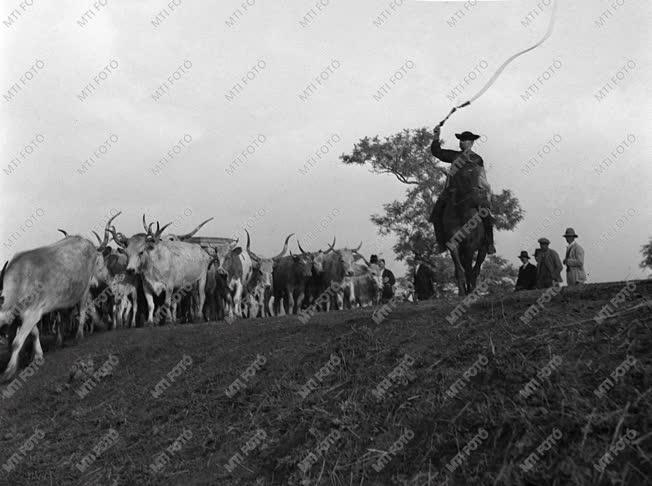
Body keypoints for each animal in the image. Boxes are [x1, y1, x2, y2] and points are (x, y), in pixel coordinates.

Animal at [0, 215, 118, 382]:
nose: (108, 275)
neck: (20, 280)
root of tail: (84, 241)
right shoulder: (28, 315)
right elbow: (35, 333)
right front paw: (38, 356)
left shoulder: (33, 312)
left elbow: (17, 342)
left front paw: (9, 371)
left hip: (84, 289)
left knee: (83, 312)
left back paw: (79, 336)